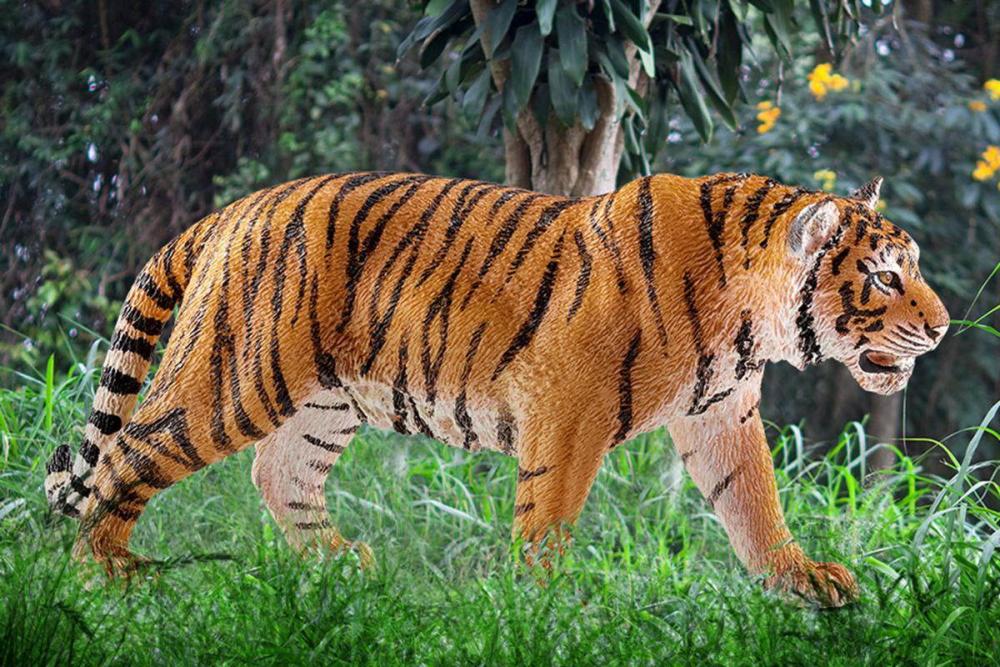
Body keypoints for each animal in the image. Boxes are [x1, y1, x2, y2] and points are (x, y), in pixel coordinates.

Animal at [44, 170, 948, 607]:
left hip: (324, 401)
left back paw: (343, 567)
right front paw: (543, 607)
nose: (942, 328)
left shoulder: (721, 414)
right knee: (130, 450)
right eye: (883, 275)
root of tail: (230, 211)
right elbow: (547, 514)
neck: (750, 317)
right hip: (237, 377)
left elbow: (754, 503)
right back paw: (105, 575)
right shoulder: (568, 407)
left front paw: (800, 581)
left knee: (279, 473)